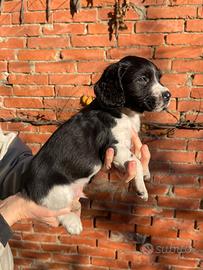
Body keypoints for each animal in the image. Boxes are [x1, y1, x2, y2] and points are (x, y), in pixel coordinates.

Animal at [21, 55, 170, 234]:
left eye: (159, 78)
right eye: (142, 79)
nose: (168, 95)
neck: (123, 112)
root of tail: (25, 187)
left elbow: (139, 156)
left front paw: (146, 174)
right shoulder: (114, 146)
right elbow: (136, 161)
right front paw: (141, 189)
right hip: (57, 191)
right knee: (57, 210)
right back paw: (73, 224)